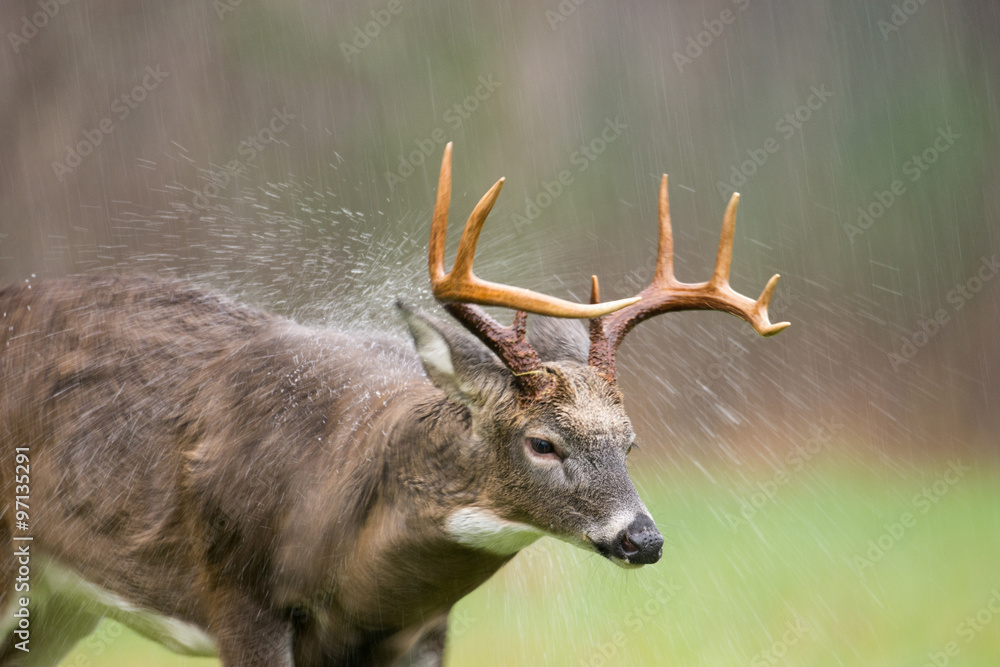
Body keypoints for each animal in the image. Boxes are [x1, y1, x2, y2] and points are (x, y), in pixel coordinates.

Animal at [0, 142, 788, 666]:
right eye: (542, 441)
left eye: (630, 441)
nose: (642, 539)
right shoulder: (240, 600)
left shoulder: (423, 631)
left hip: (60, 603)